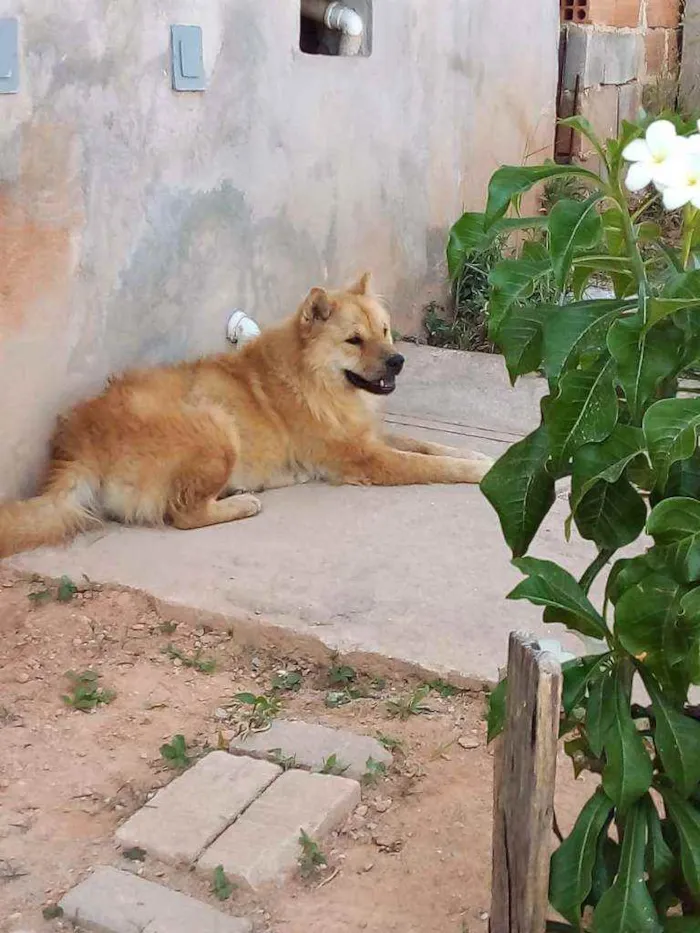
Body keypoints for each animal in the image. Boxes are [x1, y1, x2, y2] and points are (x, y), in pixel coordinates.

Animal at [0, 274, 492, 556]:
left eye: (385, 331)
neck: (314, 379)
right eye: (354, 341)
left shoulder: (368, 435)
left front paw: (477, 456)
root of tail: (81, 442)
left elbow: (429, 444)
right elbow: (428, 464)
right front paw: (476, 473)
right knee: (183, 514)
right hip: (216, 427)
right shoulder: (364, 458)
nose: (398, 361)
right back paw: (240, 502)